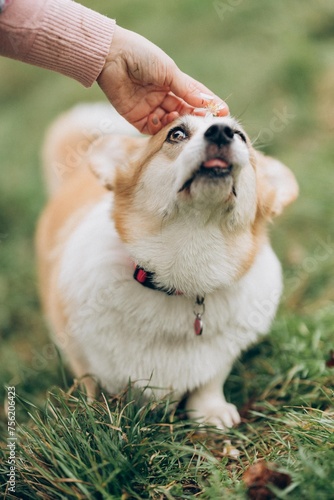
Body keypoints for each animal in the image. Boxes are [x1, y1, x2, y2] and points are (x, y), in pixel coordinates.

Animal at [36, 103, 298, 428]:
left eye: (241, 137)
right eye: (176, 134)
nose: (221, 132)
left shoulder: (221, 357)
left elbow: (210, 379)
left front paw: (210, 411)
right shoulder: (81, 351)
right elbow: (92, 382)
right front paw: (97, 415)